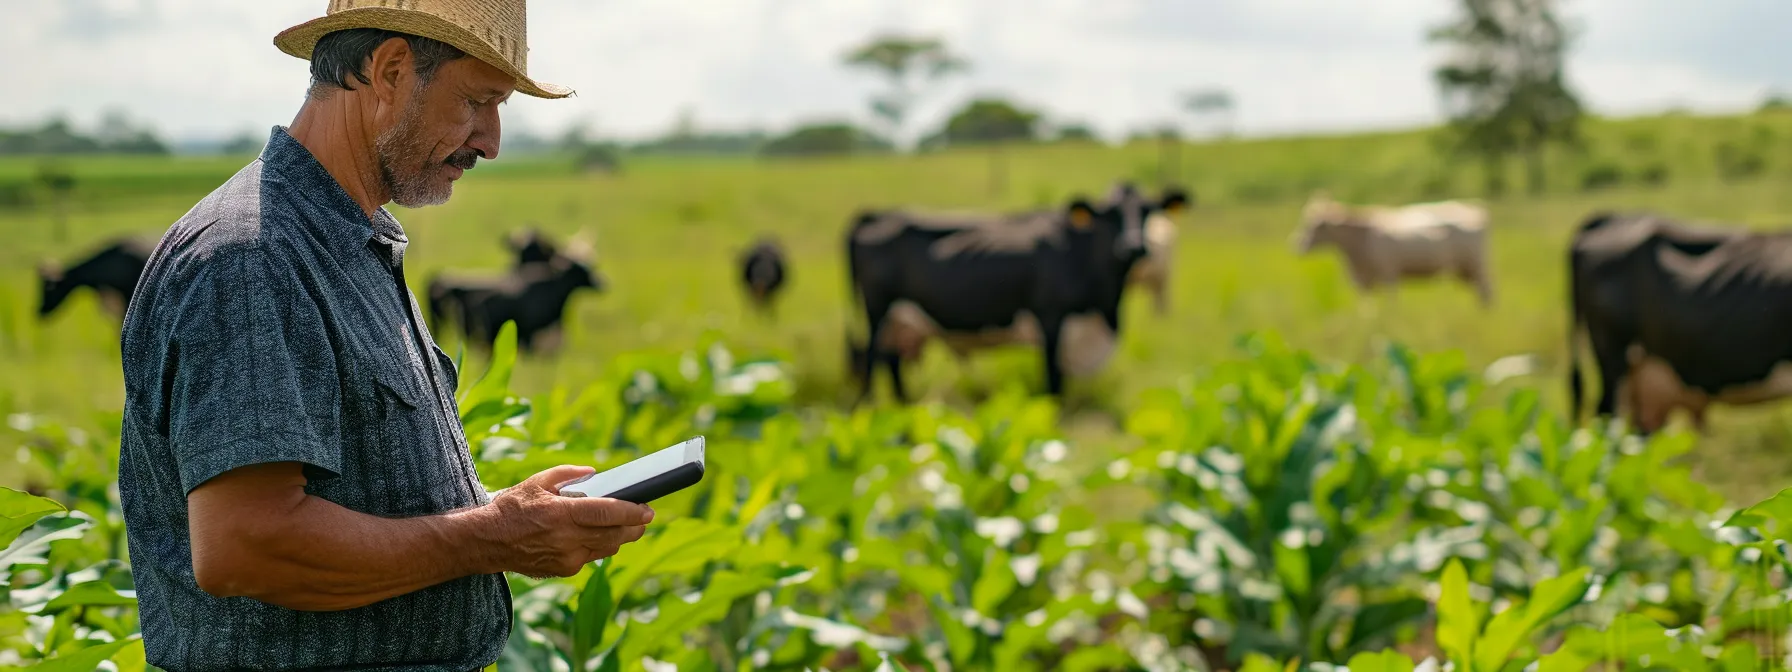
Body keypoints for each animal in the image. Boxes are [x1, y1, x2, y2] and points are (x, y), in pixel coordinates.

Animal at [1290, 193, 1498, 306]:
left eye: (1317, 226)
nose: (1297, 244)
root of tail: (1475, 208)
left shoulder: (1389, 274)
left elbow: (1391, 305)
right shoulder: (1365, 283)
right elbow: (1368, 309)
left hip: (1477, 265)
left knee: (1487, 292)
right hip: (1464, 271)